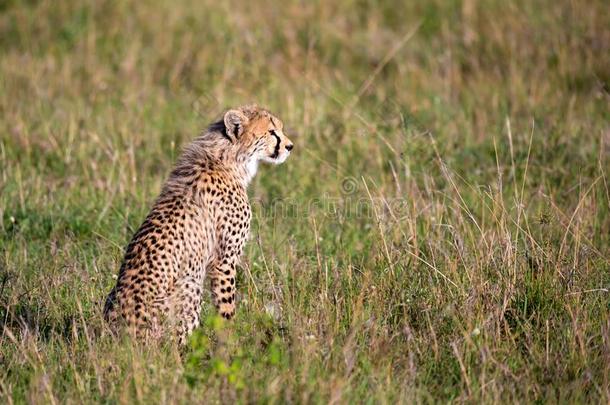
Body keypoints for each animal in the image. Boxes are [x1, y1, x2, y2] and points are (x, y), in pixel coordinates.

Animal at [102, 102, 292, 342]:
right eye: (272, 132)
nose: (290, 146)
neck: (229, 159)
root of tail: (118, 336)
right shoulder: (223, 260)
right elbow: (226, 308)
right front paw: (232, 340)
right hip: (190, 286)